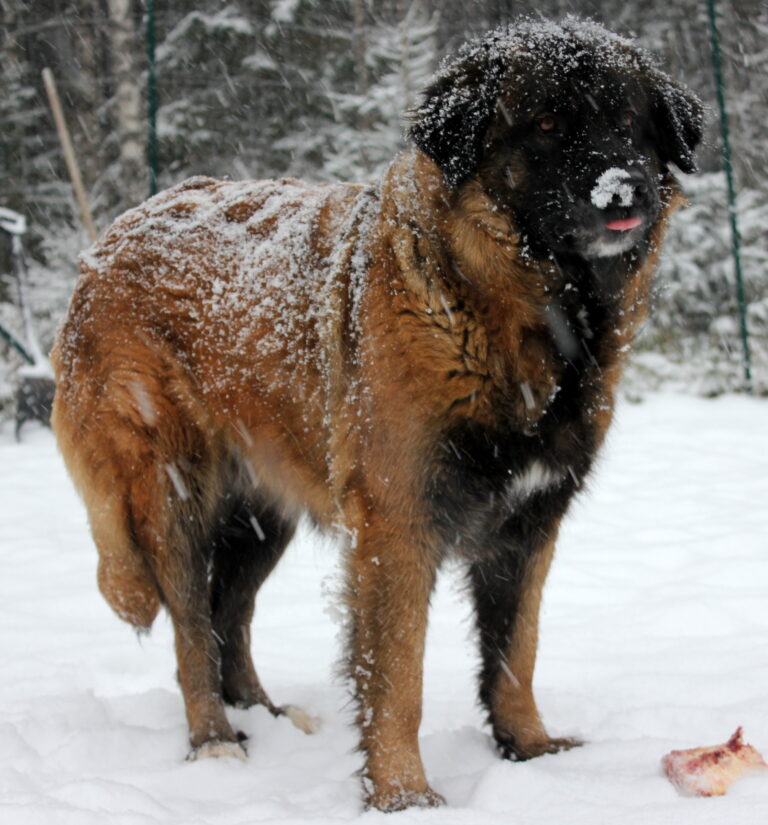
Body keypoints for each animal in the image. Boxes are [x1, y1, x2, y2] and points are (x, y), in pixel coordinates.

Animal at [52, 17, 704, 812]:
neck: (504, 307)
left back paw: (264, 714)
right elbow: (398, 679)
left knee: (226, 612)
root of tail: (107, 243)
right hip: (168, 491)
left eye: (632, 123)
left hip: (261, 507)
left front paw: (528, 749)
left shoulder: (527, 527)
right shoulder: (397, 527)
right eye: (547, 126)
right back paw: (214, 741)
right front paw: (402, 795)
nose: (623, 188)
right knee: (189, 629)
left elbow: (515, 652)